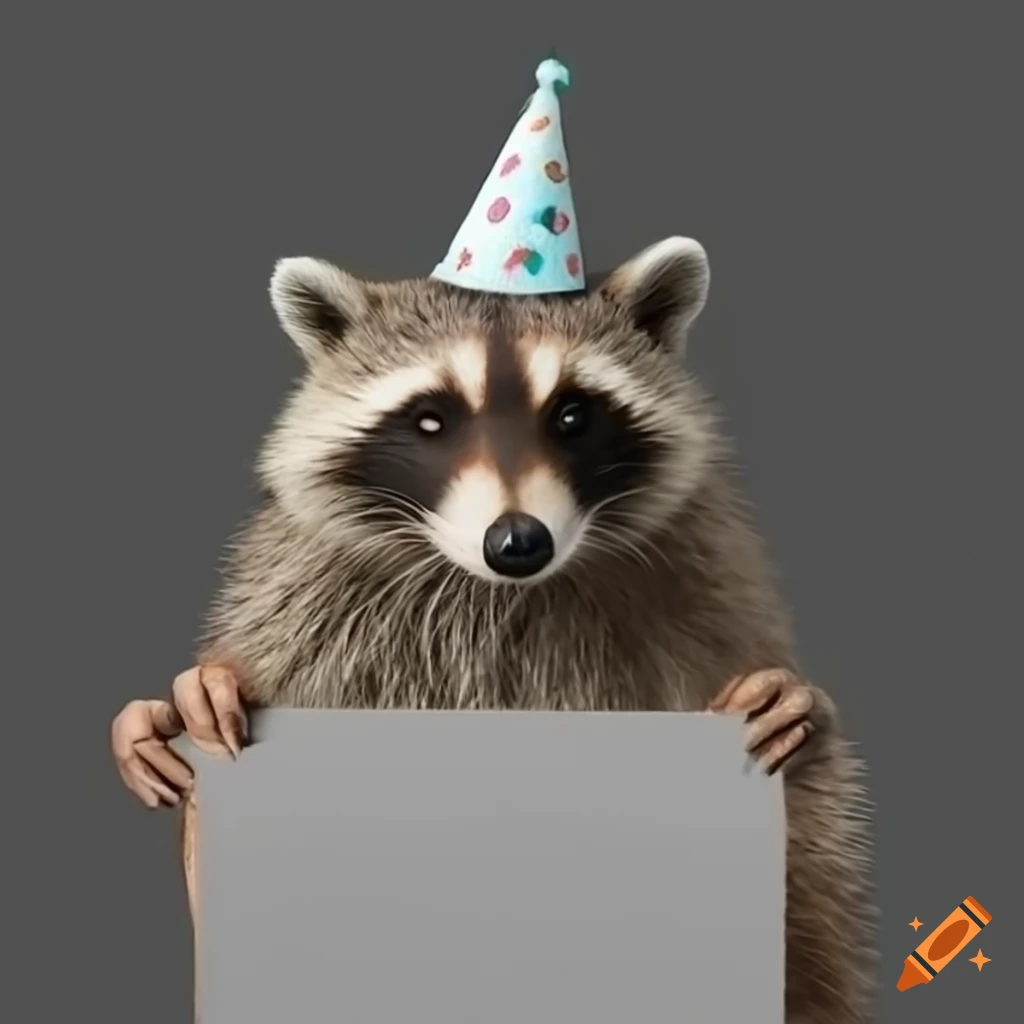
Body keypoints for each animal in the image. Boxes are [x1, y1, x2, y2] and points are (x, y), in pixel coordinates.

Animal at [164, 237, 874, 1022]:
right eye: (430, 420)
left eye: (572, 416)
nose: (517, 543)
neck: (498, 593)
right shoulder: (301, 607)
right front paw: (192, 706)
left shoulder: (709, 595)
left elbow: (811, 875)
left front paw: (791, 709)